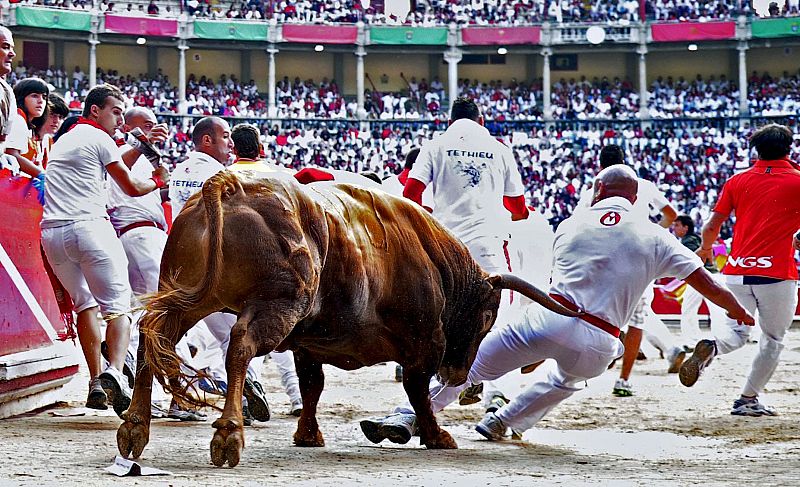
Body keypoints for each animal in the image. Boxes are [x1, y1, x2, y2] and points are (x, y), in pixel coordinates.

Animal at [115, 172, 572, 468]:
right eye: (488, 316)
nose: (458, 374)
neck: (431, 258)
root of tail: (228, 185)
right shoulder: (423, 344)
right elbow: (417, 391)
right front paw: (436, 435)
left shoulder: (307, 344)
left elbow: (312, 385)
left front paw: (307, 434)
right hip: (276, 305)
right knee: (240, 346)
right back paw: (229, 434)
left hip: (187, 298)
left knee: (152, 337)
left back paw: (135, 427)